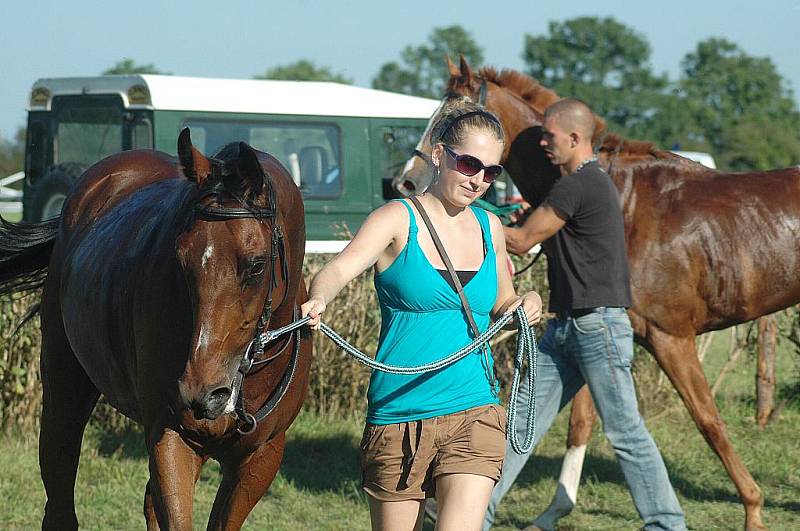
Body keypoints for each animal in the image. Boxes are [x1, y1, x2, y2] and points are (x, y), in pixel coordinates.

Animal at [0, 130, 310, 531]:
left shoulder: (262, 455)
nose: (202, 392)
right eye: (182, 258)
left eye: (256, 266)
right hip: (63, 385)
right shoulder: (171, 434)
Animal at [396, 57, 796, 531]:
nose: (406, 183)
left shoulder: (670, 337)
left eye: (452, 121)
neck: (625, 201)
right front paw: (551, 511)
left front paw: (753, 507)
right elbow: (581, 422)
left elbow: (709, 421)